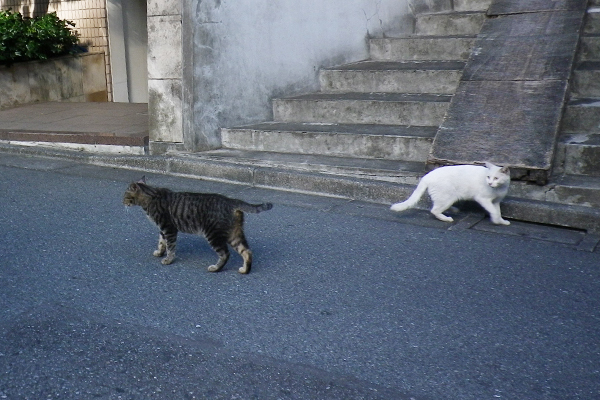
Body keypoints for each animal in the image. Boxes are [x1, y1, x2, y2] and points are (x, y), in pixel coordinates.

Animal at [123, 177, 274, 274]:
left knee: (225, 254)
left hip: (213, 234)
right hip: (234, 234)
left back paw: (215, 268)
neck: (151, 196)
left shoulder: (168, 228)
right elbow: (161, 242)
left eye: (125, 195)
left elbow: (170, 246)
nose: (122, 201)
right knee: (246, 251)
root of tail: (231, 201)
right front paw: (160, 252)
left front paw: (168, 259)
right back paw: (244, 270)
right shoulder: (162, 229)